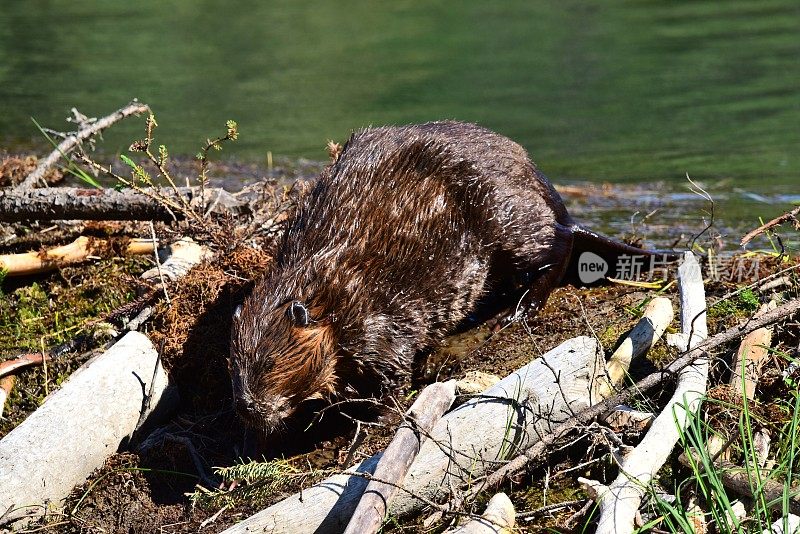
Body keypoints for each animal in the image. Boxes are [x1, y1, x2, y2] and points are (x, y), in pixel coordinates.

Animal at [230, 120, 664, 436]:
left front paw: (373, 422)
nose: (249, 409)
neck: (324, 290)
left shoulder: (374, 318)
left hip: (508, 221)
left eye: (267, 363)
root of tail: (558, 203)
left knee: (556, 249)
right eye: (234, 366)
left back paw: (516, 310)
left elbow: (393, 371)